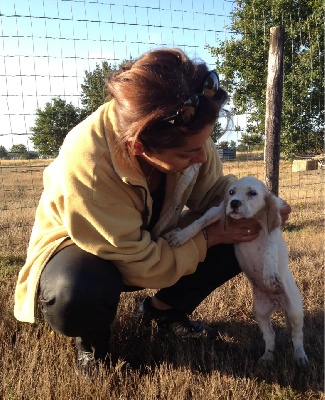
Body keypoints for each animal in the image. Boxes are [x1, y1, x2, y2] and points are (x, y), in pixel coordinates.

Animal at [166, 176, 308, 366]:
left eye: (253, 193)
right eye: (231, 192)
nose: (234, 203)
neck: (253, 216)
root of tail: (277, 302)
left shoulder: (273, 224)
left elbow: (270, 249)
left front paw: (269, 273)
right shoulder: (217, 210)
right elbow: (199, 222)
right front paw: (181, 236)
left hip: (294, 309)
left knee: (297, 335)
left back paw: (300, 356)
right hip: (260, 312)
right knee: (270, 335)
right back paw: (267, 357)